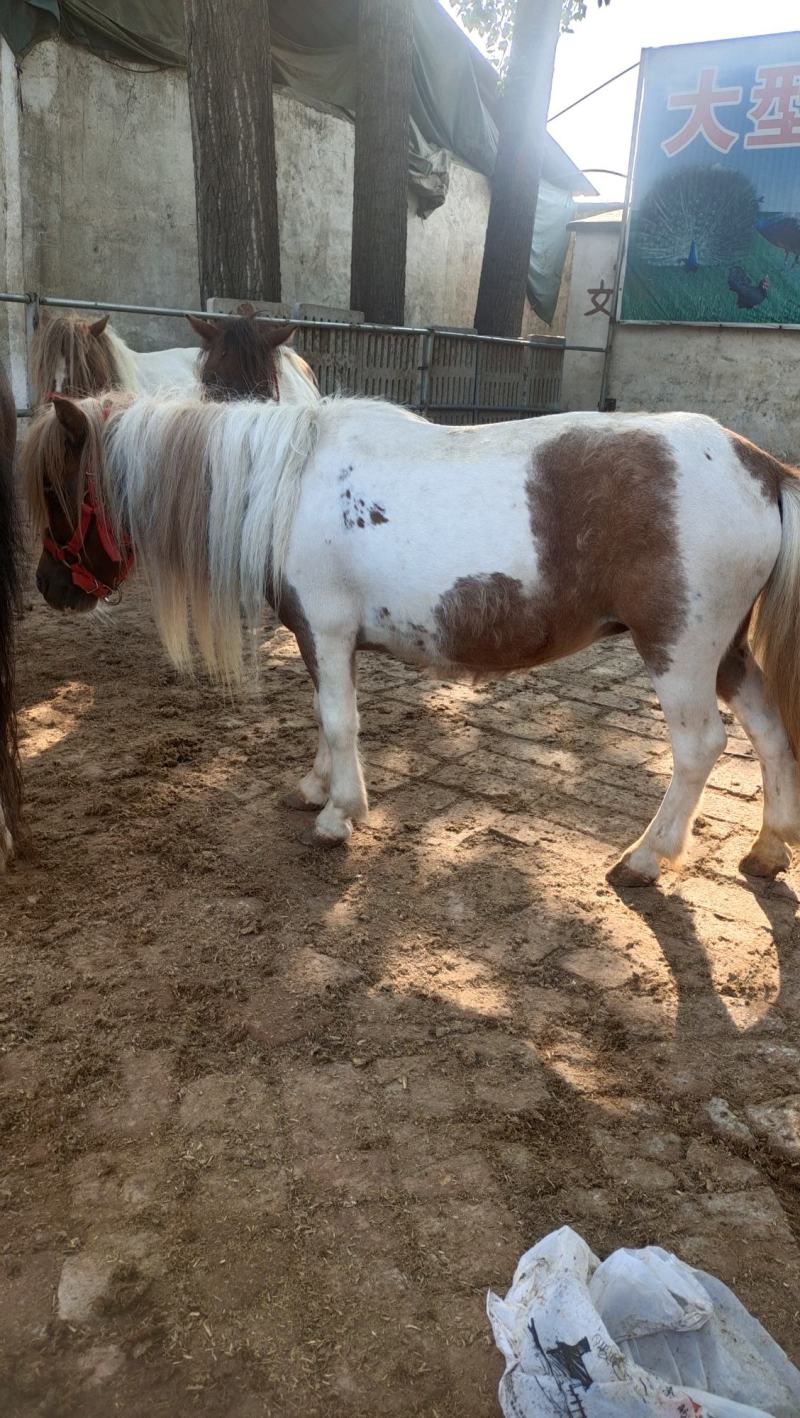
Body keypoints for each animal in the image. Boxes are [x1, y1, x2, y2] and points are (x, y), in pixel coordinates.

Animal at [21, 390, 800, 886]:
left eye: (57, 493)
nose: (50, 588)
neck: (287, 486)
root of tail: (761, 467)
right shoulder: (325, 640)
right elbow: (326, 720)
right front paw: (315, 788)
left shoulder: (326, 631)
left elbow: (339, 722)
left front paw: (340, 814)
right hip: (725, 653)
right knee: (767, 730)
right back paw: (767, 851)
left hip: (680, 651)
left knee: (700, 748)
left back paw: (645, 859)